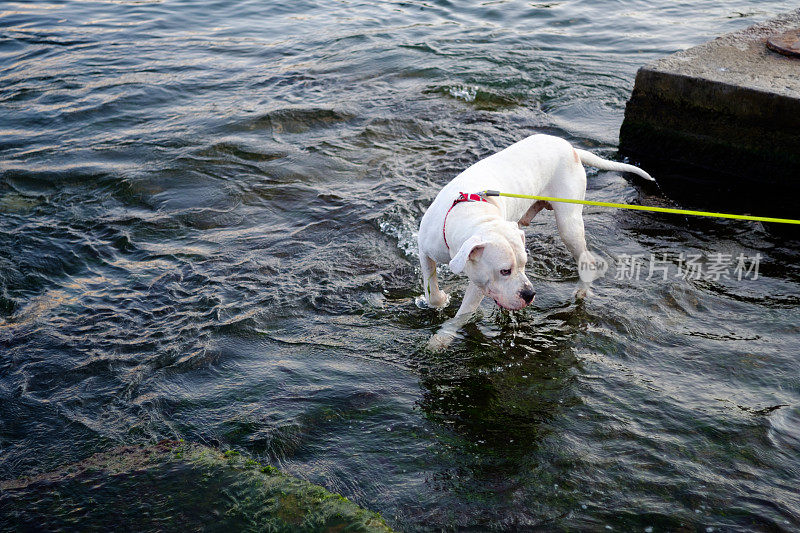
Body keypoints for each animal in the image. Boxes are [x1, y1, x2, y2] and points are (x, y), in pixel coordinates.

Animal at [416, 134, 652, 350]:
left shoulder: (479, 282)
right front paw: (441, 300)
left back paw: (582, 290)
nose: (530, 294)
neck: (472, 213)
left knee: (586, 259)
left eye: (524, 265)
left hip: (568, 223)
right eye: (505, 271)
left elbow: (463, 315)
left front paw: (441, 339)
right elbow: (431, 289)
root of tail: (571, 149)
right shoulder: (425, 250)